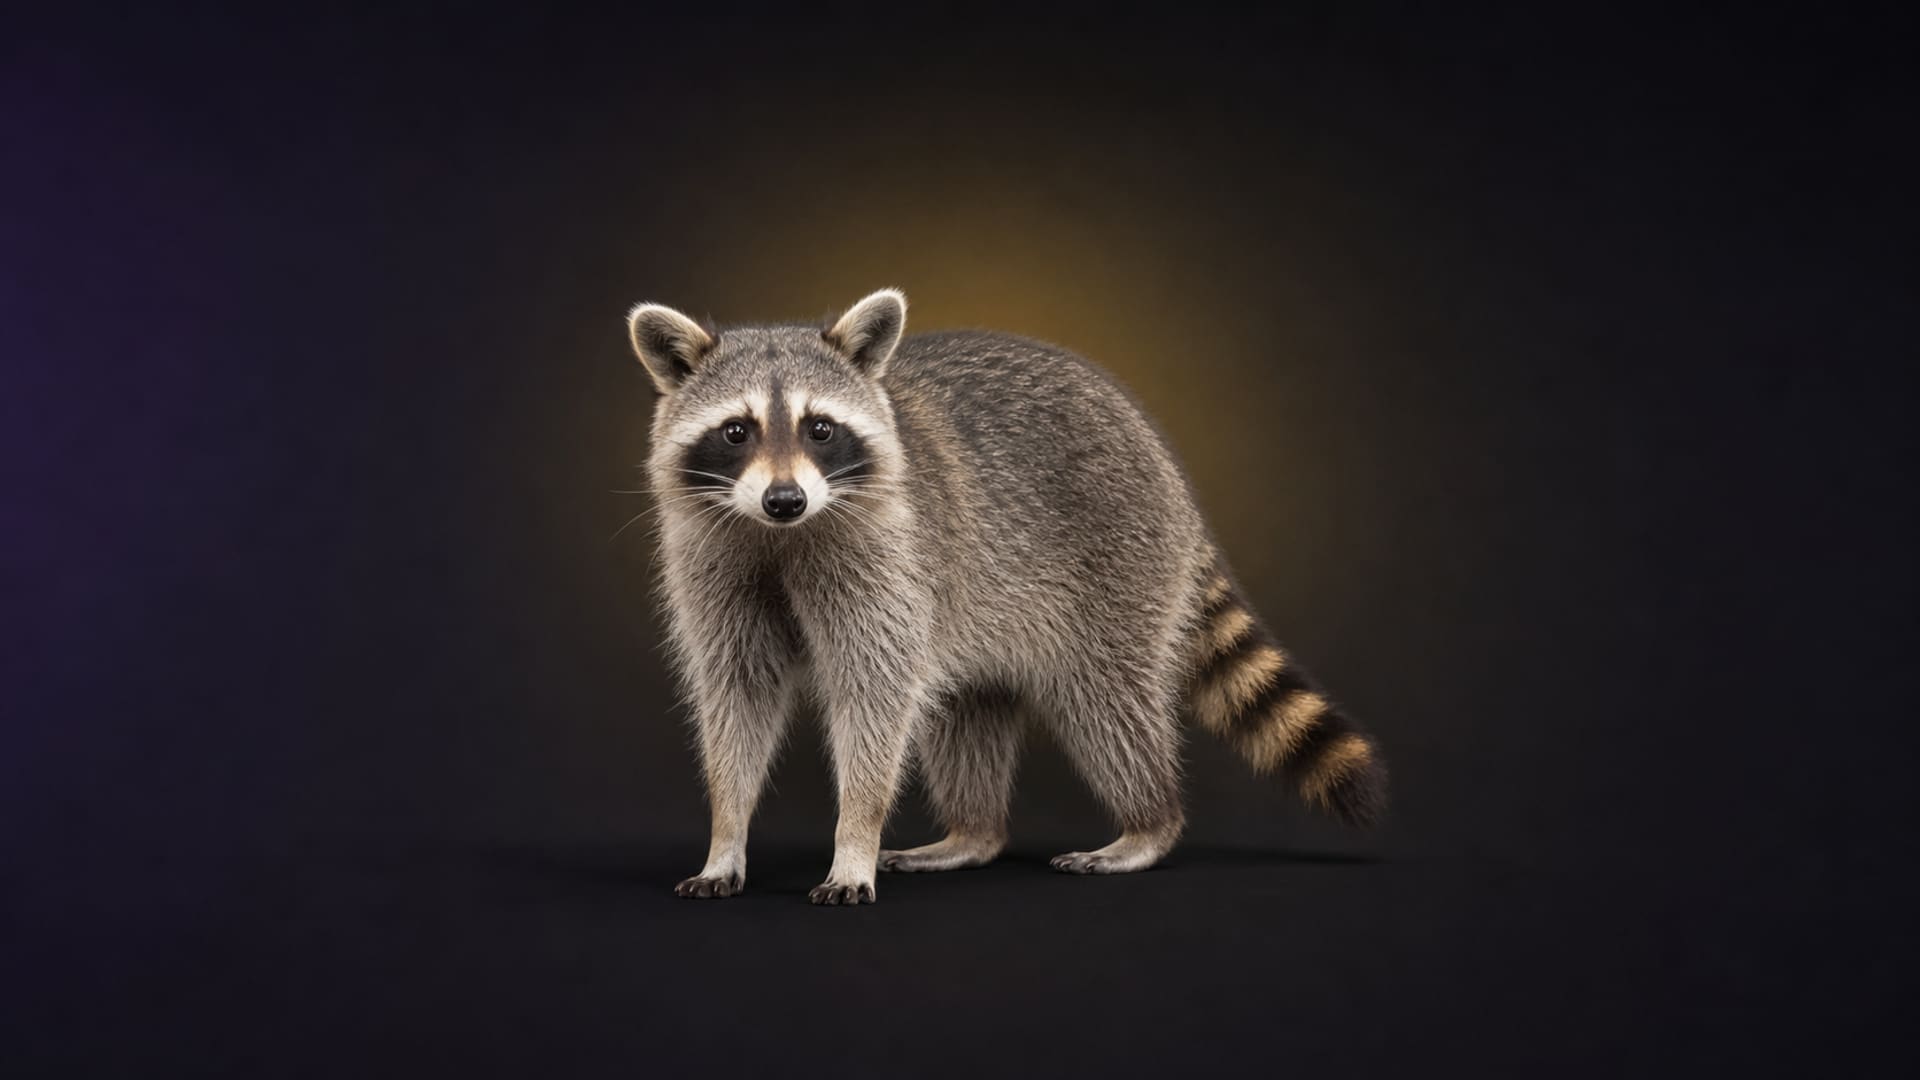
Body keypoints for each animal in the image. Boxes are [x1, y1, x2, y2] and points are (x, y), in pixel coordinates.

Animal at [626, 289, 1387, 905]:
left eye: (820, 428)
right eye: (736, 431)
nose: (785, 500)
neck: (780, 537)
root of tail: (1160, 456)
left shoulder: (888, 562)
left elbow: (876, 699)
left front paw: (855, 839)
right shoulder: (714, 564)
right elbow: (738, 695)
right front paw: (726, 834)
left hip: (1122, 559)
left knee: (1108, 702)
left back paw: (1148, 823)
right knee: (966, 714)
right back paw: (973, 832)